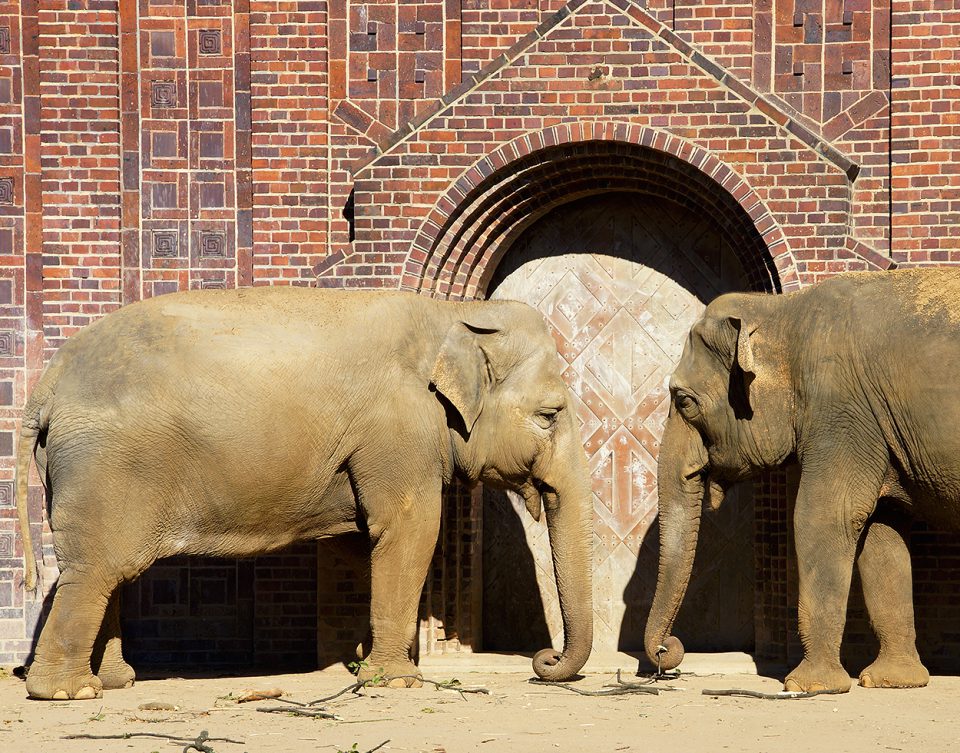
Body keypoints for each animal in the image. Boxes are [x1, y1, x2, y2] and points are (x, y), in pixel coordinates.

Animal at [16, 288, 592, 700]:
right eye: (550, 414)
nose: (543, 660)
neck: (455, 313)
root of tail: (47, 384)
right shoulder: (398, 427)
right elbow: (408, 527)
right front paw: (394, 682)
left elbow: (362, 542)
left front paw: (360, 665)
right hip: (107, 466)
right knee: (96, 568)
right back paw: (68, 692)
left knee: (110, 570)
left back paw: (116, 681)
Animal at [644, 268, 960, 692]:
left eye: (684, 401)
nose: (668, 652)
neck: (782, 310)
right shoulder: (874, 424)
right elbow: (882, 533)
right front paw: (892, 680)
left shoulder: (838, 408)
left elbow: (822, 517)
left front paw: (807, 686)